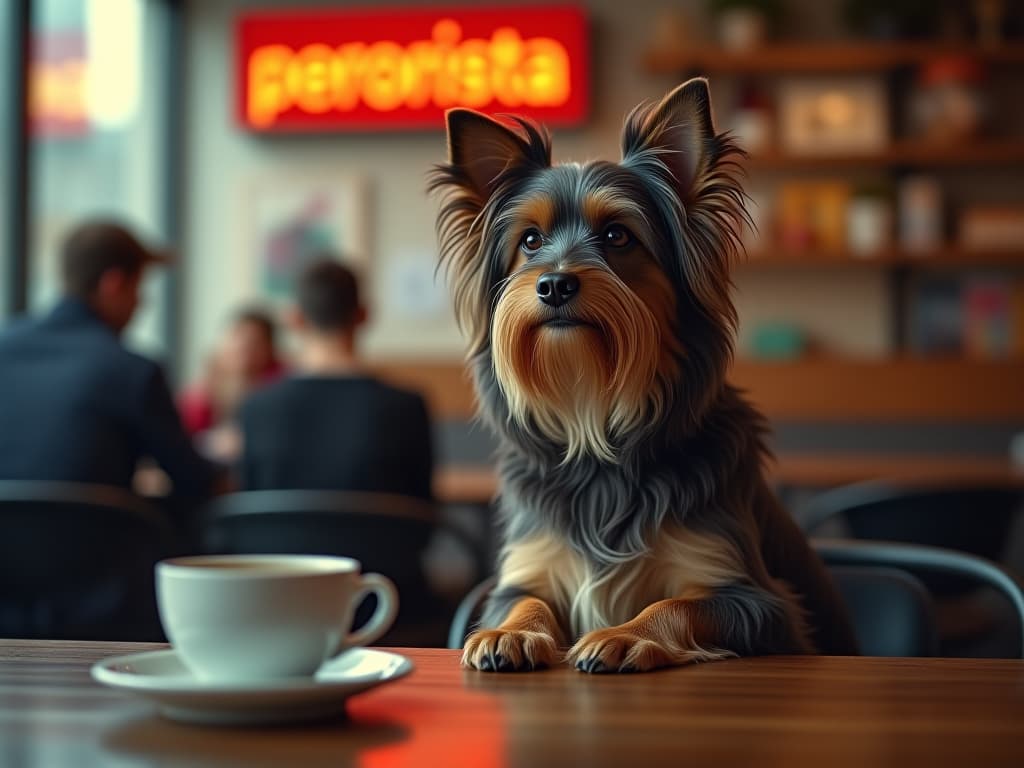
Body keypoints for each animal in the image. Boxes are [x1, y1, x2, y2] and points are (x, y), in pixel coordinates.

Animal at [428, 79, 860, 671]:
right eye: (531, 241)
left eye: (617, 236)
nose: (554, 284)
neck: (594, 418)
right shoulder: (526, 572)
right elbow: (523, 602)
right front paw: (508, 633)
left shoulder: (759, 602)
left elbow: (678, 605)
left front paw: (624, 635)